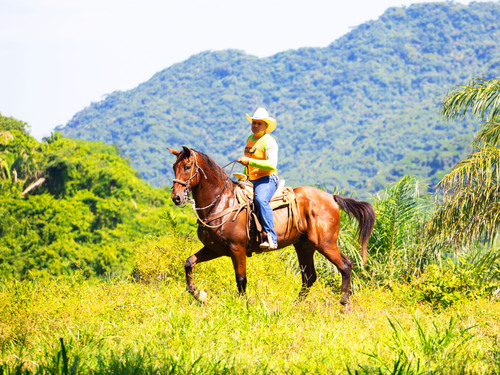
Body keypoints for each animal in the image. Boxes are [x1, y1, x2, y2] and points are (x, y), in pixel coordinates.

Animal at [168, 147, 376, 306]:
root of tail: (331, 197)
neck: (221, 203)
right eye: (173, 167)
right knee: (309, 276)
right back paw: (297, 305)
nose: (176, 197)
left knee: (346, 265)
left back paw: (343, 302)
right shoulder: (215, 248)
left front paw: (242, 304)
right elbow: (189, 263)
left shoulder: (237, 248)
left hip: (325, 243)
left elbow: (241, 279)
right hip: (304, 246)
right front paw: (198, 294)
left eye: (187, 167)